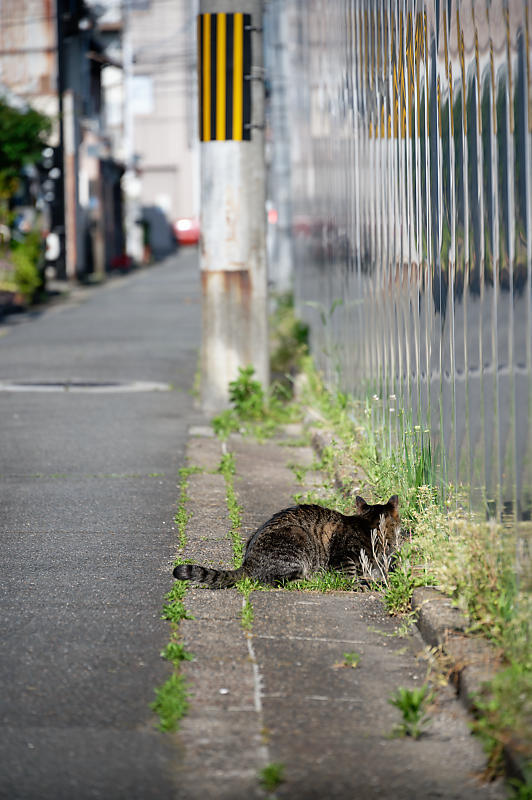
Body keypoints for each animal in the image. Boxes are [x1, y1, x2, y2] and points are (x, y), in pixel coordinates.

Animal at [172, 494, 402, 588]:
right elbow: (351, 577)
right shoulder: (342, 558)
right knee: (277, 580)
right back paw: (309, 579)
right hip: (297, 537)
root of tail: (248, 562)